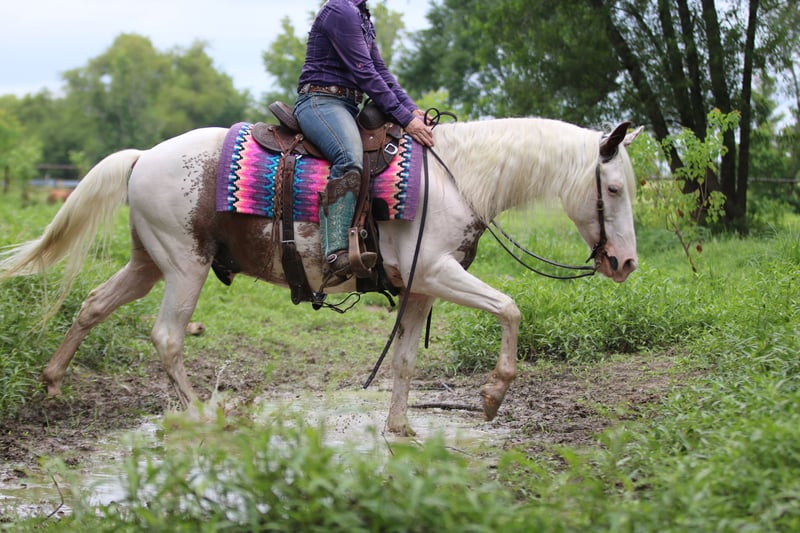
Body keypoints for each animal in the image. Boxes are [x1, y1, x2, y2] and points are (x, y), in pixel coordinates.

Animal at [0, 117, 641, 436]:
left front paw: (400, 428)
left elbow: (405, 360)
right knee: (167, 338)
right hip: (184, 265)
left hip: (147, 261)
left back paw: (53, 381)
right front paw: (491, 396)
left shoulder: (421, 285)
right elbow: (510, 307)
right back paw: (205, 415)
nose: (625, 263)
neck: (454, 176)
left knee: (93, 303)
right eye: (613, 189)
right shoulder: (438, 271)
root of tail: (142, 156)